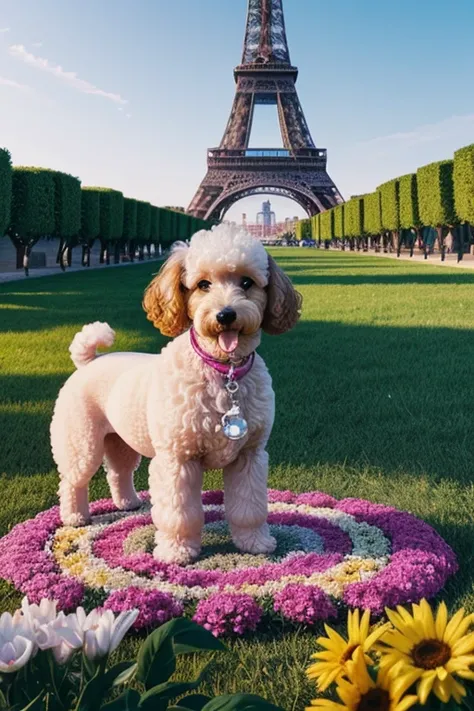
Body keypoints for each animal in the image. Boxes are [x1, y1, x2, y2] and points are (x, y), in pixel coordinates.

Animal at [50, 225, 302, 564]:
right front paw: (177, 550)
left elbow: (249, 508)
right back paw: (75, 516)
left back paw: (128, 502)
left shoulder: (249, 455)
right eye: (203, 284)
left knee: (118, 471)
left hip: (120, 438)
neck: (224, 375)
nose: (226, 315)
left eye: (247, 282)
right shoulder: (177, 457)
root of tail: (89, 361)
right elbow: (180, 513)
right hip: (81, 440)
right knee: (73, 479)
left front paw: (254, 542)